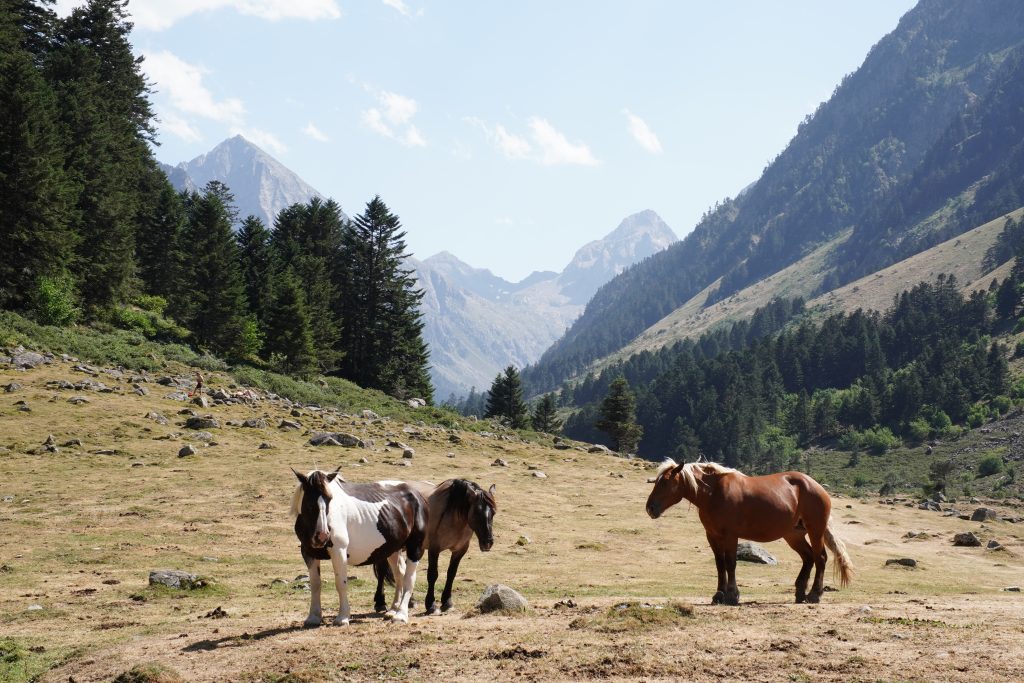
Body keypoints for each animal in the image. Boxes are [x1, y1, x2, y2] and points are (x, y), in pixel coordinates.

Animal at [290, 468, 427, 625]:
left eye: (330, 498)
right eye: (308, 501)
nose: (322, 536)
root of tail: (416, 495)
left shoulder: (338, 551)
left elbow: (341, 583)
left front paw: (343, 617)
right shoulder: (308, 553)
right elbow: (315, 584)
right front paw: (313, 617)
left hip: (415, 547)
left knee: (409, 579)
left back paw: (401, 615)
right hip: (393, 549)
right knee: (400, 574)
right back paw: (393, 609)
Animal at [372, 479, 497, 615]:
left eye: (493, 512)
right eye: (477, 512)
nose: (488, 542)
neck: (452, 514)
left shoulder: (459, 551)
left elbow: (451, 574)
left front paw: (447, 602)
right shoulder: (434, 549)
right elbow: (432, 574)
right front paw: (431, 605)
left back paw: (410, 601)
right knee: (382, 571)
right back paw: (380, 603)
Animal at [645, 459, 853, 606]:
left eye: (665, 483)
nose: (650, 508)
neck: (714, 494)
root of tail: (816, 486)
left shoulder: (730, 536)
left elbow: (730, 564)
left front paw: (732, 595)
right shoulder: (712, 536)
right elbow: (720, 565)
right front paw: (718, 594)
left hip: (815, 530)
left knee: (820, 558)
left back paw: (814, 595)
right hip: (793, 535)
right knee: (808, 558)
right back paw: (800, 593)